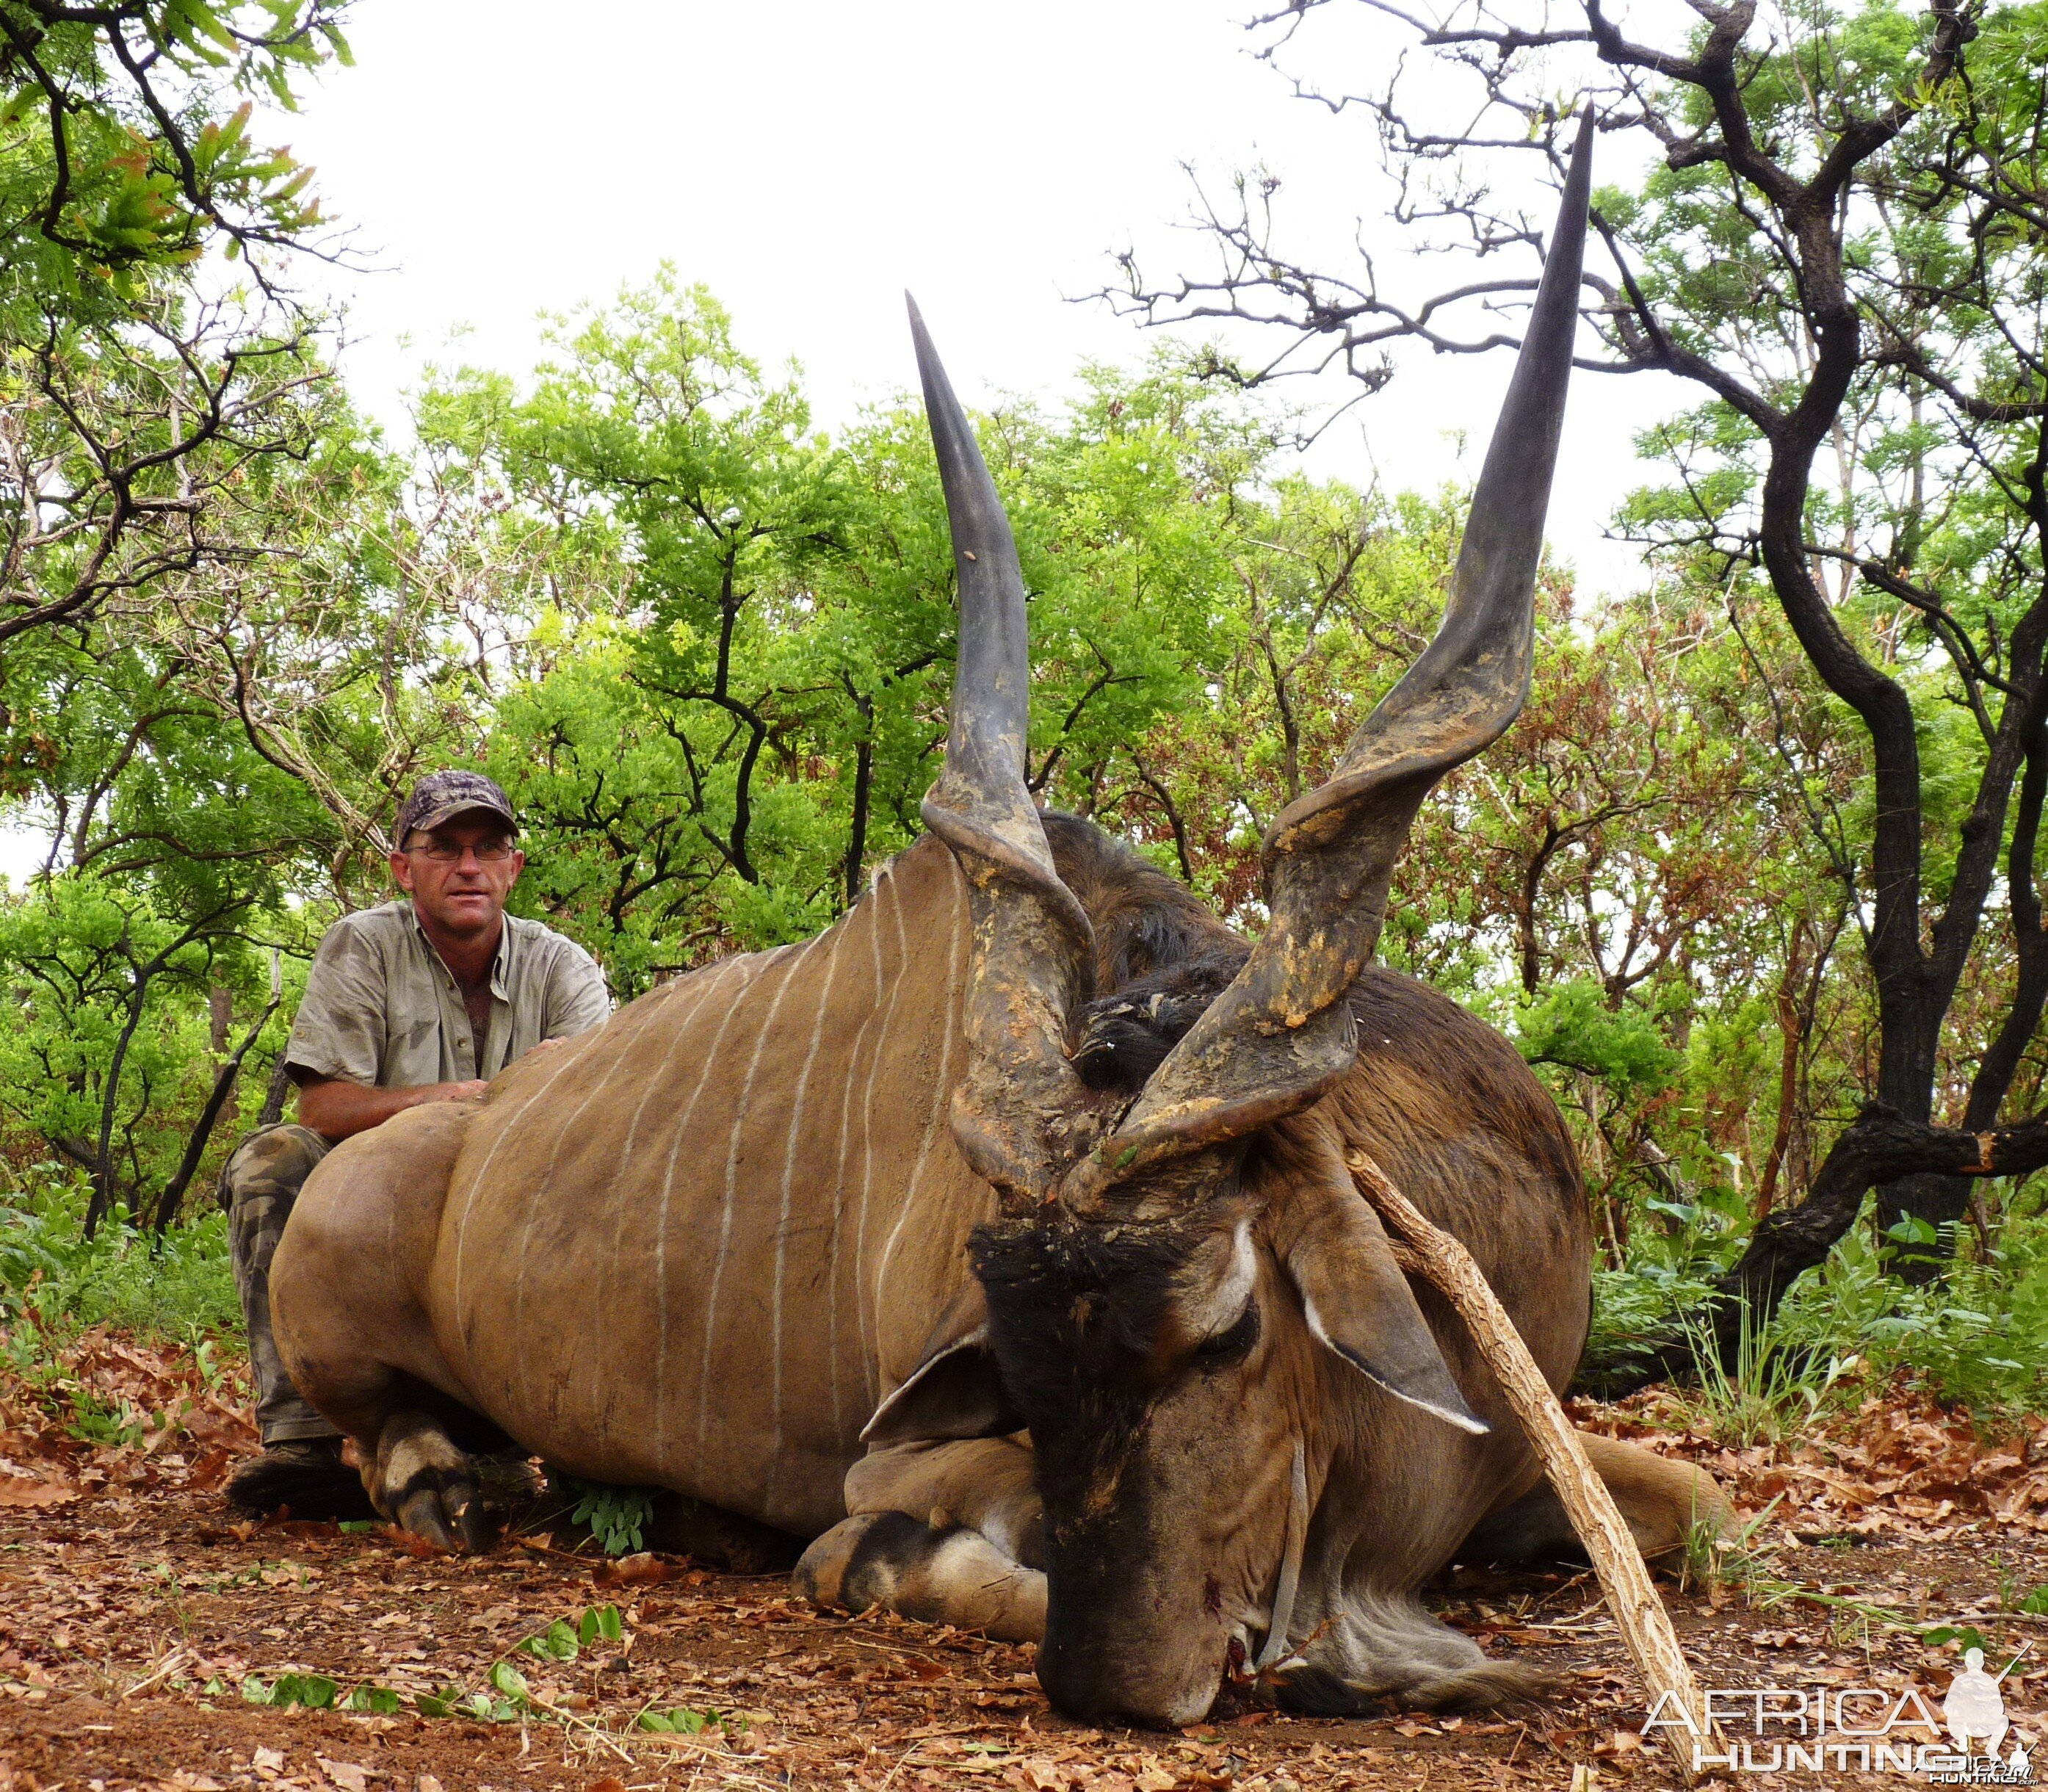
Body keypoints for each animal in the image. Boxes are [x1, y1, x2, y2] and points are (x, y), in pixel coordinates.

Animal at [264, 115, 1720, 1736]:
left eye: (1231, 1325)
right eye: (1016, 1362)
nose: (1115, 1679)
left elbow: (1704, 1516)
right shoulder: (907, 1467)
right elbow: (878, 1542)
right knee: (386, 1437)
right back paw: (458, 1481)